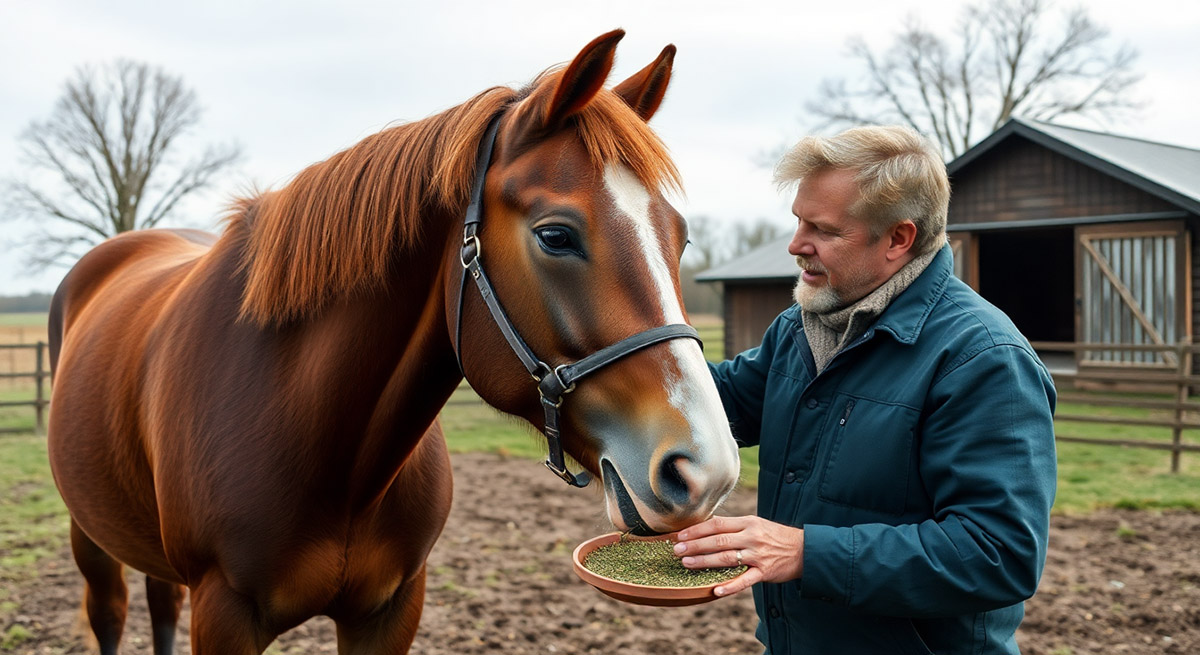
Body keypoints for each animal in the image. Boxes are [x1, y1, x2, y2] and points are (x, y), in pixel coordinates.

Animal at [46, 30, 740, 655]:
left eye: (679, 237)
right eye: (555, 236)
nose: (705, 470)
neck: (334, 456)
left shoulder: (391, 609)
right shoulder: (223, 615)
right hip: (90, 536)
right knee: (110, 613)